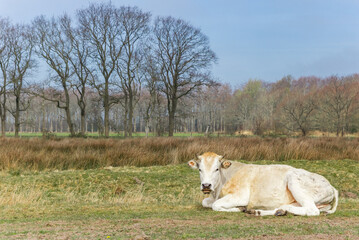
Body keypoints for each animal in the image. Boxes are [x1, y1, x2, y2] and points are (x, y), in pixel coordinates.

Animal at [188, 153, 340, 217]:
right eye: (200, 169)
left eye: (216, 169)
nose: (206, 185)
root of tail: (331, 186)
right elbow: (205, 202)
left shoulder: (241, 196)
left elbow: (215, 205)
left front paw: (239, 208)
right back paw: (266, 212)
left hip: (294, 181)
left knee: (312, 210)